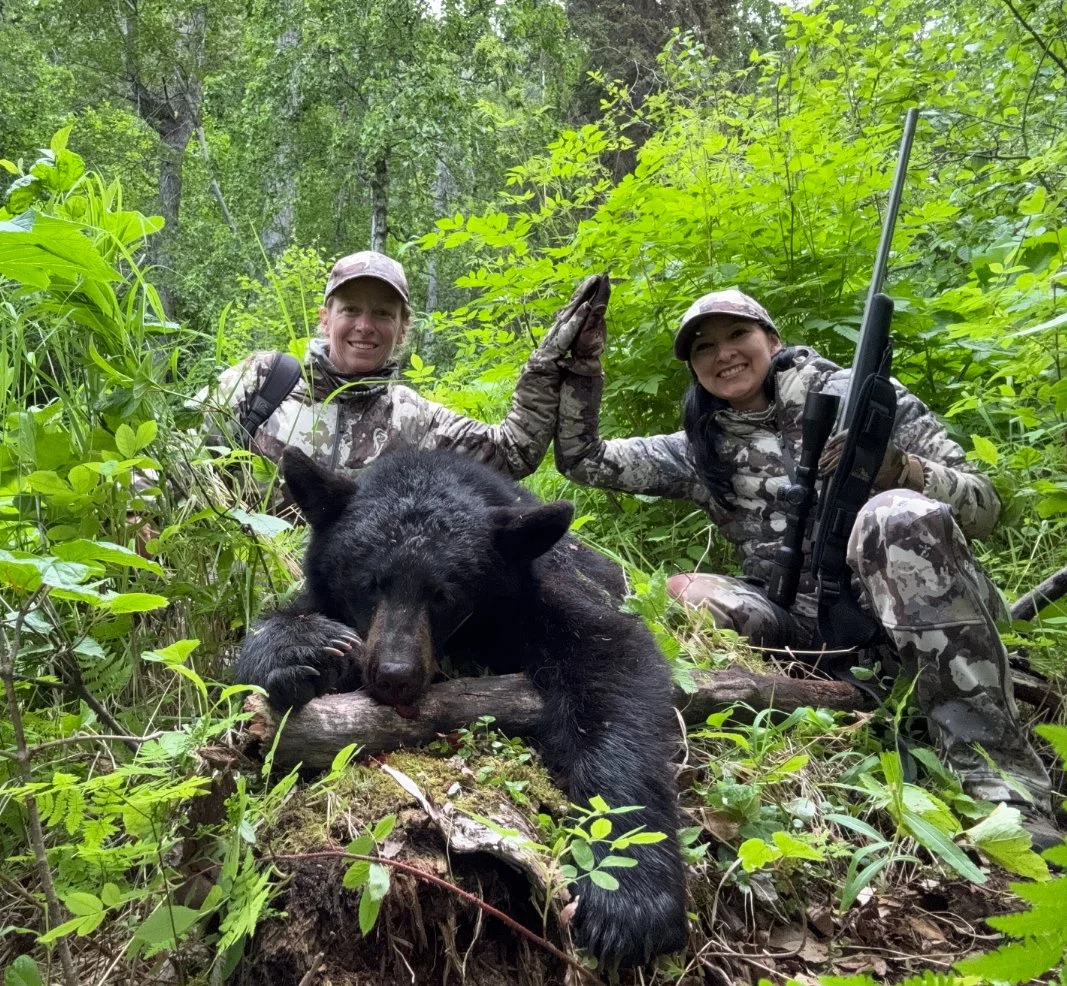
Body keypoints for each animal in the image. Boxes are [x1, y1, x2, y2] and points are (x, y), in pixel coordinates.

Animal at [235, 447, 687, 966]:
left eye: (444, 594)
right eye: (371, 582)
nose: (394, 674)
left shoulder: (544, 593)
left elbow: (615, 662)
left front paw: (629, 898)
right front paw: (308, 647)